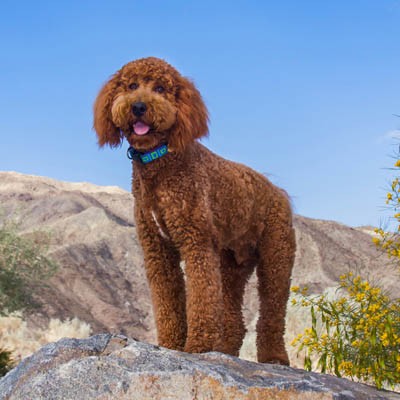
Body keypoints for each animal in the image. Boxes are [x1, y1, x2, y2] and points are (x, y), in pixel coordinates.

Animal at [92, 56, 296, 366]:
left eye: (161, 88)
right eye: (131, 85)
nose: (138, 106)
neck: (161, 162)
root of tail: (279, 192)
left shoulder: (196, 242)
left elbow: (201, 298)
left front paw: (197, 346)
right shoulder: (157, 249)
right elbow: (168, 303)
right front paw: (170, 345)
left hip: (276, 257)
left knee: (272, 313)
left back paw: (273, 357)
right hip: (232, 265)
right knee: (234, 318)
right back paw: (224, 350)